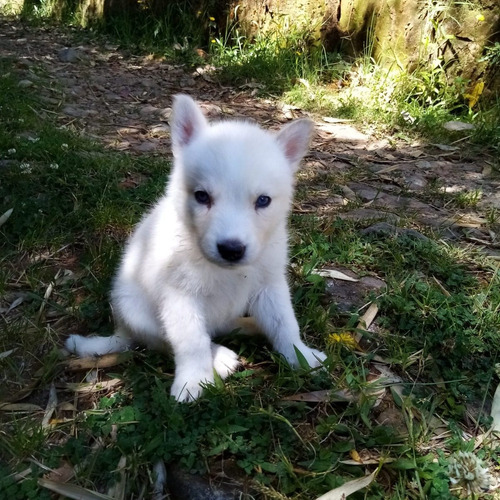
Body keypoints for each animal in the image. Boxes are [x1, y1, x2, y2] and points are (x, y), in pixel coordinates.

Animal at [65, 94, 324, 402]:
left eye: (263, 201)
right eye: (202, 196)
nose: (231, 249)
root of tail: (122, 330)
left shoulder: (270, 285)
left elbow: (285, 324)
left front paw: (301, 356)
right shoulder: (180, 297)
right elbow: (191, 342)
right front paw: (192, 381)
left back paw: (250, 326)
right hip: (137, 311)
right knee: (166, 341)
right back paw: (220, 356)